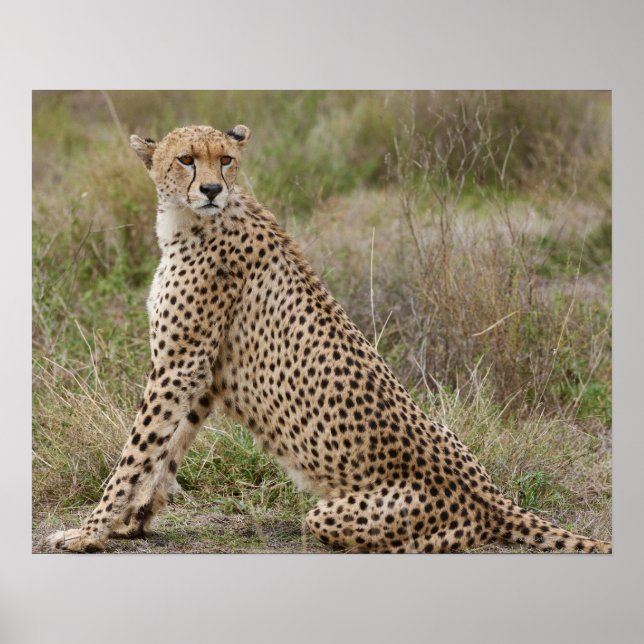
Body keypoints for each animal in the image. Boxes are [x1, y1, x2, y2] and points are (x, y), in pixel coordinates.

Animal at [45, 124, 612, 554]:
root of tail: (494, 496)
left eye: (225, 160)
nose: (210, 190)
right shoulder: (200, 372)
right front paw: (132, 522)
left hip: (341, 513)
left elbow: (134, 454)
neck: (189, 221)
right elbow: (165, 451)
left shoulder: (179, 365)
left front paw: (88, 532)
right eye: (186, 160)